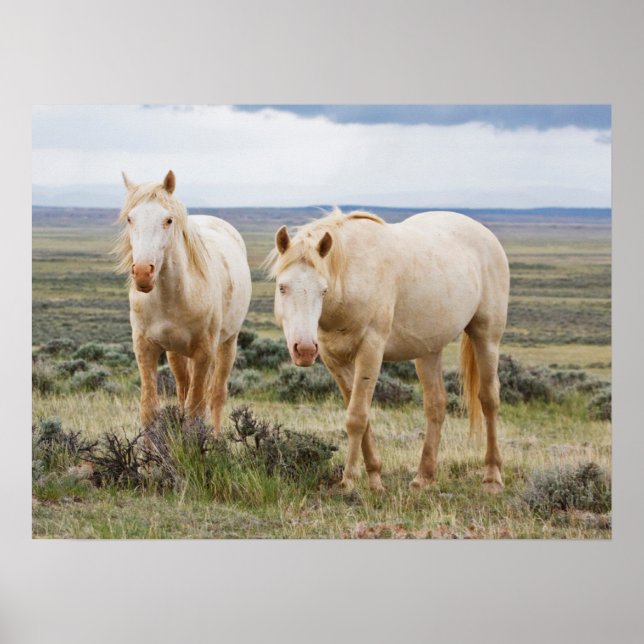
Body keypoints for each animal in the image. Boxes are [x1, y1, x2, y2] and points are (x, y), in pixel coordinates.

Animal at [114, 170, 252, 434]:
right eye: (130, 219)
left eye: (168, 220)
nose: (143, 273)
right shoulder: (145, 347)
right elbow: (149, 409)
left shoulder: (204, 351)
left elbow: (196, 410)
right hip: (175, 352)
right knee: (183, 388)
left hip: (228, 342)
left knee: (216, 394)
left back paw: (216, 437)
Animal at [265, 208, 510, 493]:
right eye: (282, 287)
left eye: (323, 290)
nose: (304, 350)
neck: (352, 277)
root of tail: (485, 233)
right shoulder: (334, 359)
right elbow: (361, 415)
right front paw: (374, 478)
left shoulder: (371, 350)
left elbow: (357, 416)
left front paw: (349, 481)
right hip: (429, 350)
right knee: (436, 404)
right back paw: (424, 477)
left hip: (487, 337)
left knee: (489, 400)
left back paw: (492, 476)